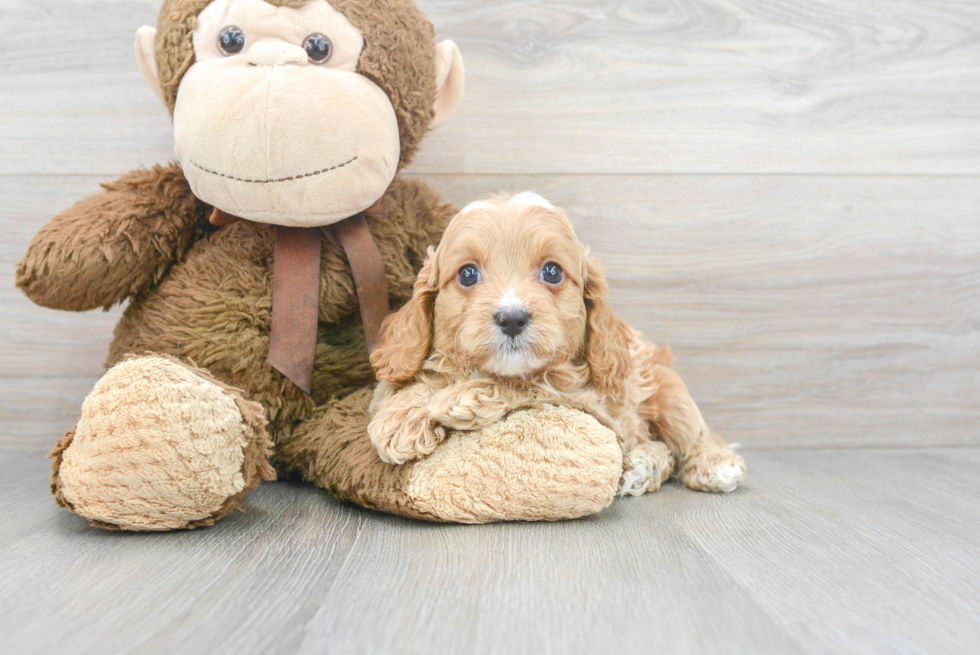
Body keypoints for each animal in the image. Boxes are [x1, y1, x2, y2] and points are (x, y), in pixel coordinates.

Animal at [366, 192, 744, 494]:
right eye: (467, 274)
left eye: (552, 272)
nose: (512, 318)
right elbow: (413, 381)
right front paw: (401, 417)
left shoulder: (587, 404)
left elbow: (531, 384)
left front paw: (467, 396)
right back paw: (641, 467)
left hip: (670, 395)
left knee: (696, 439)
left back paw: (712, 464)